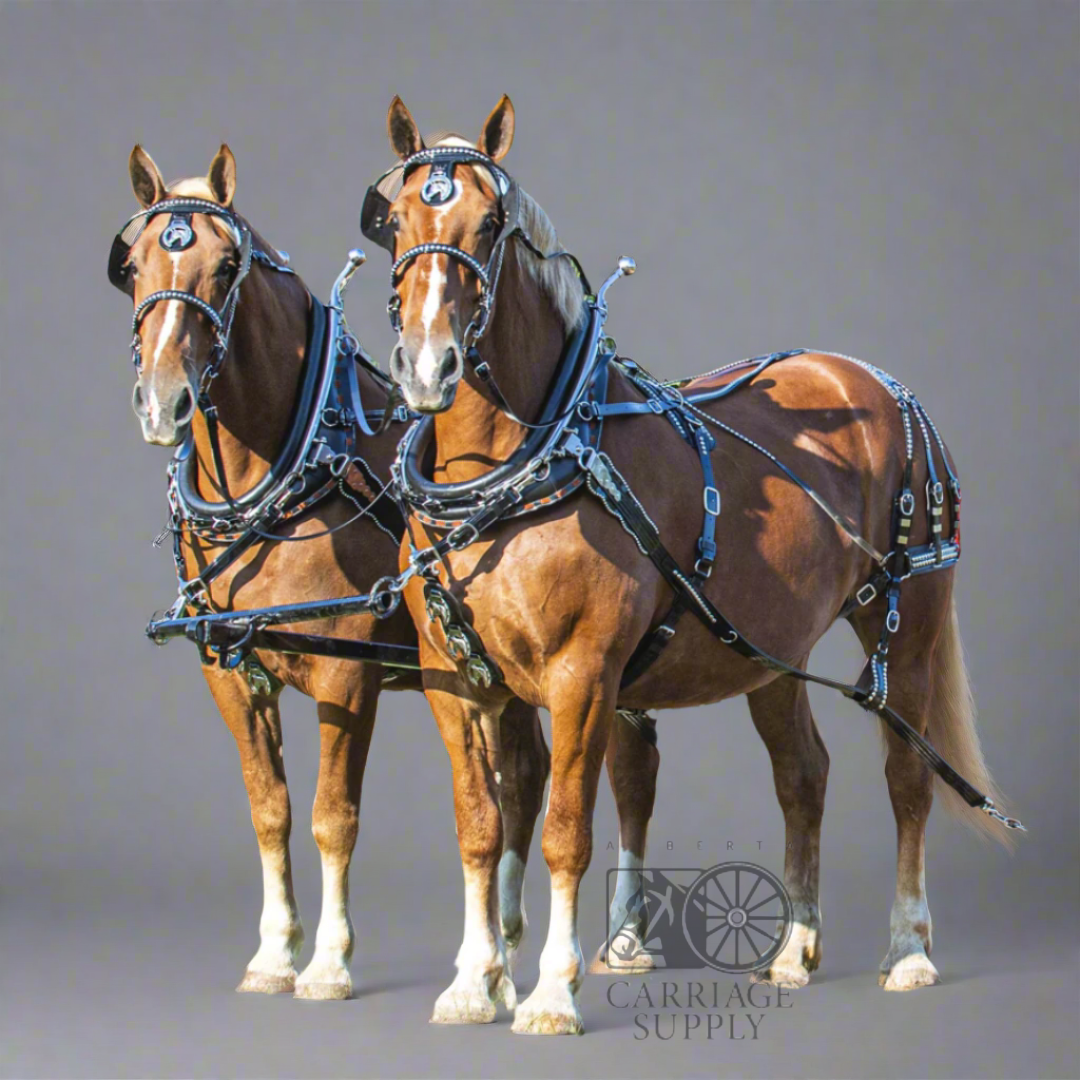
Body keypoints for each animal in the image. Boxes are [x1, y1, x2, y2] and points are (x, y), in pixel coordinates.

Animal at [112, 145, 658, 1006]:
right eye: (131, 265)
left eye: (227, 265)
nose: (163, 399)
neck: (280, 473)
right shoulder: (228, 673)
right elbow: (270, 810)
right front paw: (274, 953)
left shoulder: (347, 675)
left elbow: (333, 814)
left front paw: (329, 962)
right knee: (525, 776)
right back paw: (502, 954)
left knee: (630, 769)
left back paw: (623, 941)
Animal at [367, 96, 1011, 1034]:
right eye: (392, 222)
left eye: (489, 224)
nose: (427, 362)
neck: (514, 476)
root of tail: (869, 377)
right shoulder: (455, 680)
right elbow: (481, 825)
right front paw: (473, 981)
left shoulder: (584, 671)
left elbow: (565, 828)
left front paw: (551, 991)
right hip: (772, 648)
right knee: (803, 775)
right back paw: (793, 950)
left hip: (909, 624)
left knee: (907, 775)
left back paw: (909, 950)